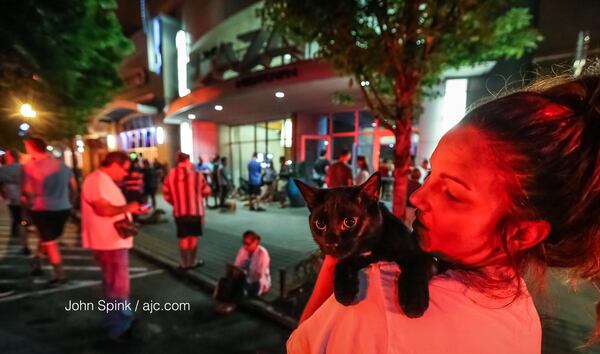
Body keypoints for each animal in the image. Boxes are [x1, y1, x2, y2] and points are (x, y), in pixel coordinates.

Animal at [296, 171, 436, 318]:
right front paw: (344, 291)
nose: (330, 243)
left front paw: (413, 303)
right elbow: (342, 263)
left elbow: (415, 268)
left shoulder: (418, 253)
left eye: (350, 222)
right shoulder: (360, 258)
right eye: (320, 224)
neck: (371, 248)